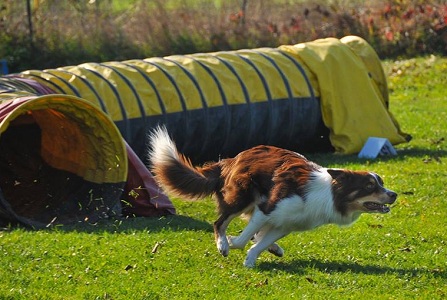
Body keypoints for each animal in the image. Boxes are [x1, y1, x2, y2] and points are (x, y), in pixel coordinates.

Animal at [148, 126, 400, 268]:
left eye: (381, 183)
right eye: (369, 186)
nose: (394, 195)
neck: (327, 195)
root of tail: (231, 159)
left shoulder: (285, 224)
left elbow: (260, 242)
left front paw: (251, 260)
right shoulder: (267, 209)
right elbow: (243, 239)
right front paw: (233, 244)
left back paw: (272, 248)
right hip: (242, 197)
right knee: (219, 223)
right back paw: (223, 244)